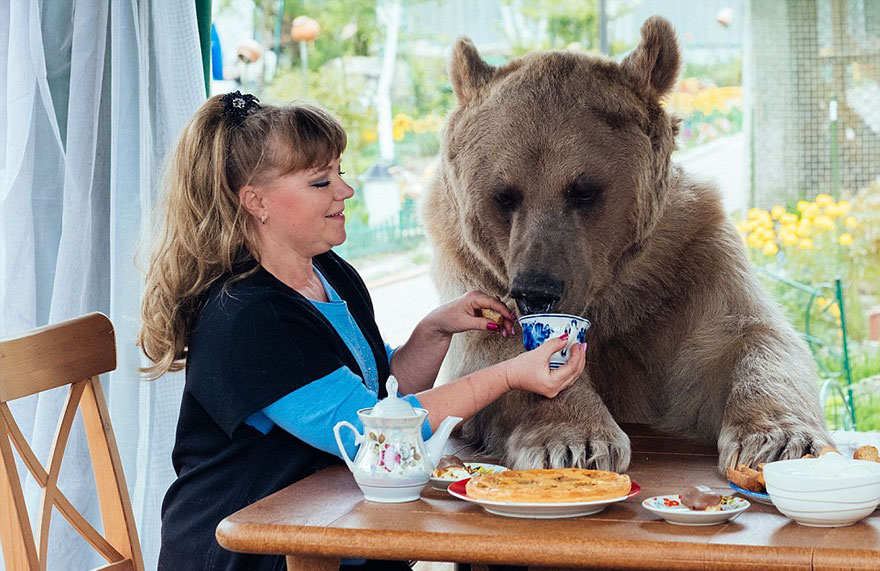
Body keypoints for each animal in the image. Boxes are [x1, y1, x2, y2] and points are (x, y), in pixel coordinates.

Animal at [422, 16, 836, 474]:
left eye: (584, 190)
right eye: (504, 195)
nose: (536, 291)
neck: (609, 293)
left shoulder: (687, 258)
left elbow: (748, 336)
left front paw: (779, 440)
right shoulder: (471, 265)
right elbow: (494, 351)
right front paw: (573, 440)